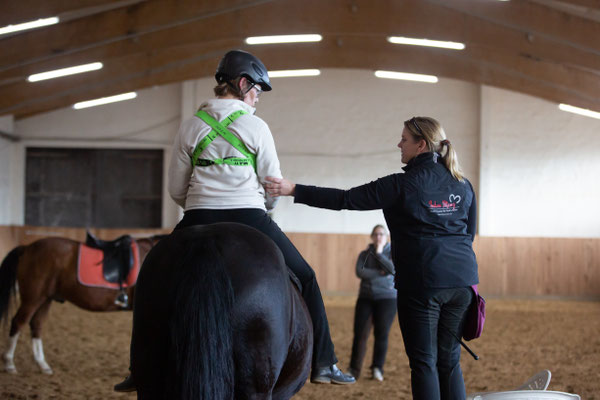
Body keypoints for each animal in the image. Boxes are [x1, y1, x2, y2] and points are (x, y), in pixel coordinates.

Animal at [0, 234, 158, 376]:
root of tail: (27, 248)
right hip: (33, 298)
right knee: (19, 322)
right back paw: (9, 364)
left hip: (45, 299)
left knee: (36, 324)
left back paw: (43, 365)